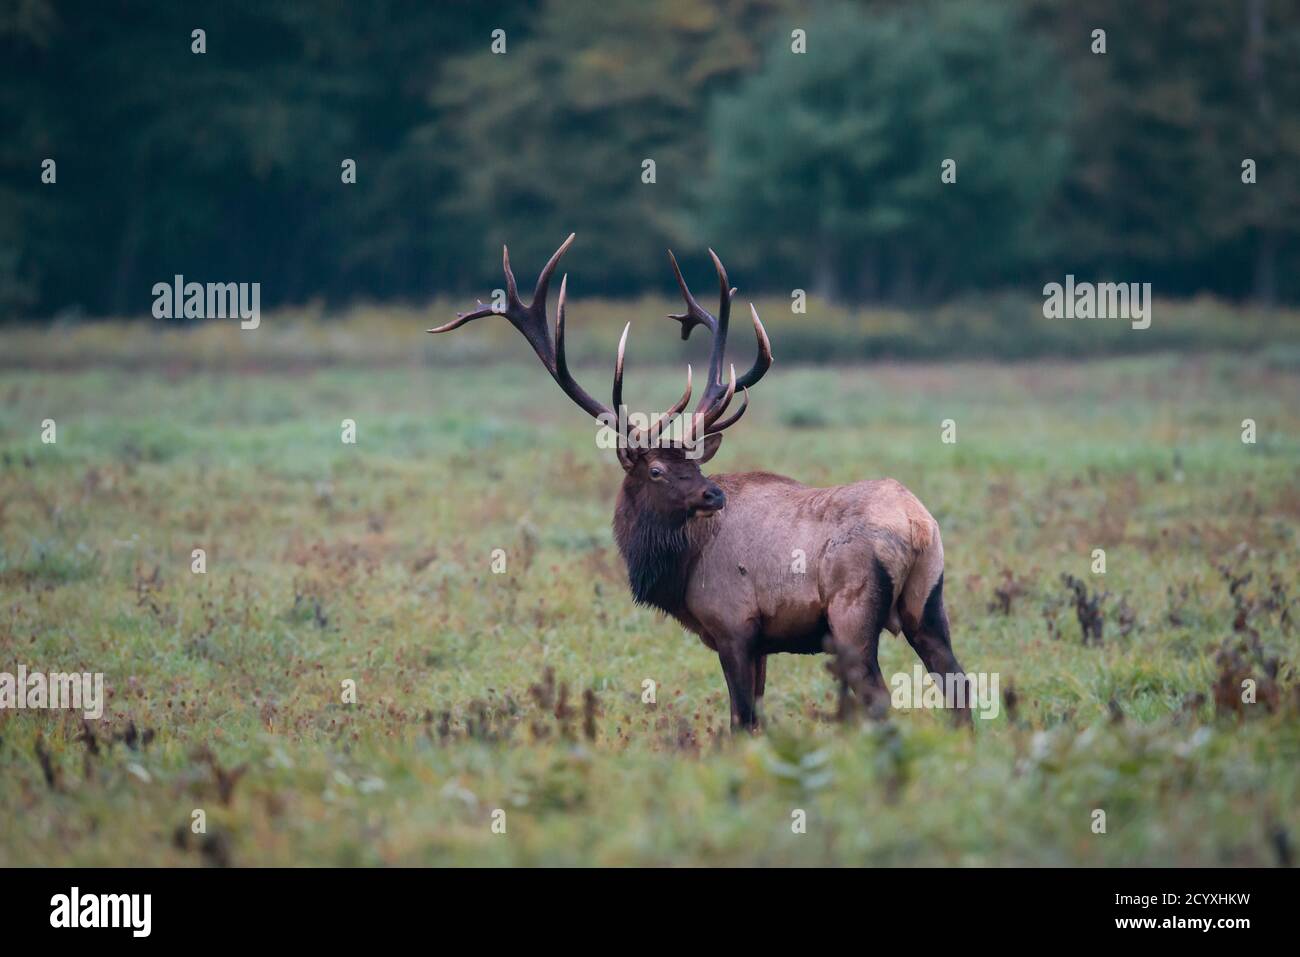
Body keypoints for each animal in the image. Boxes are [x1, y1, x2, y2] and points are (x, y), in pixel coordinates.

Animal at [431, 235, 972, 728]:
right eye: (659, 469)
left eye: (693, 466)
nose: (714, 494)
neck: (679, 569)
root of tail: (915, 525)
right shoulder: (761, 644)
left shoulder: (733, 626)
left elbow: (742, 721)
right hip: (930, 600)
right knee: (958, 682)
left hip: (851, 615)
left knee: (882, 698)